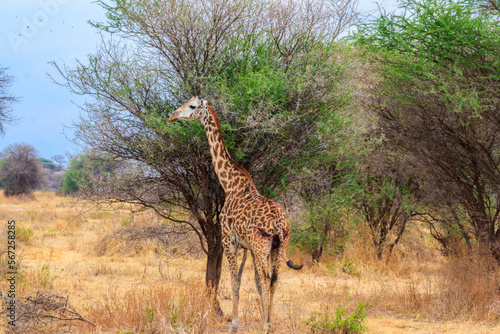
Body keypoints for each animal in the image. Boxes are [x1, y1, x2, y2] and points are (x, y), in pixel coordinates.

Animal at [168, 95, 302, 332]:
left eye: (192, 106)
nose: (172, 116)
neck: (229, 183)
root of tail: (279, 223)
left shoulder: (228, 240)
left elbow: (234, 281)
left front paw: (234, 325)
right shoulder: (247, 247)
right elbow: (250, 281)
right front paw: (259, 320)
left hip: (262, 246)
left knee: (266, 280)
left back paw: (264, 327)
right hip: (277, 246)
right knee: (274, 280)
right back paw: (269, 324)